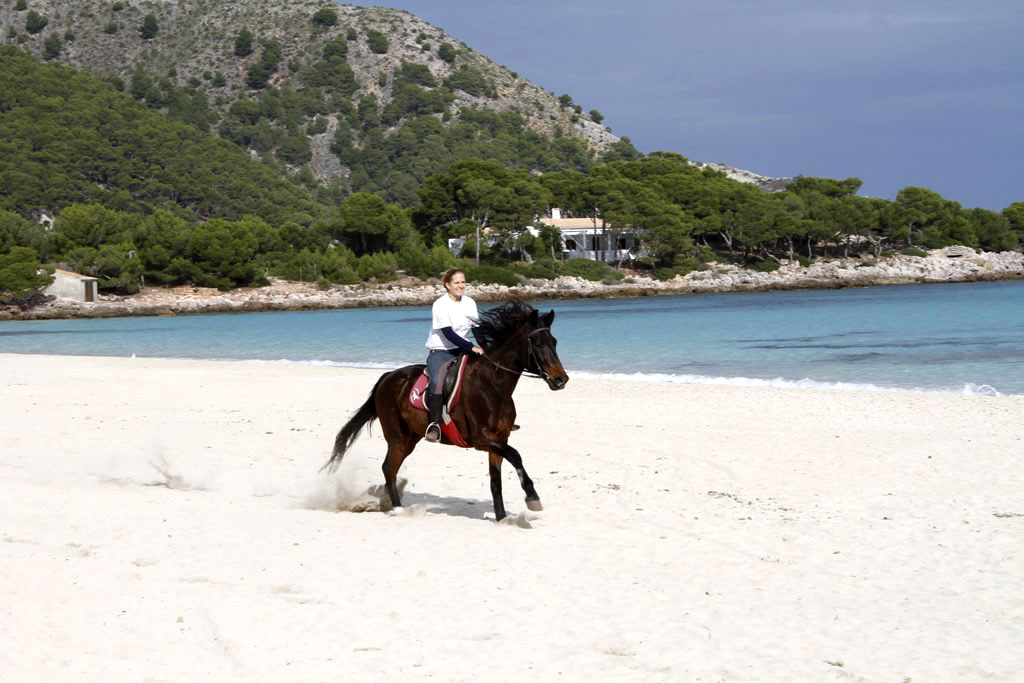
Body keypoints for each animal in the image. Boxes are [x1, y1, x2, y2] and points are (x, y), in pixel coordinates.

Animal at [321, 301, 569, 520]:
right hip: (397, 437)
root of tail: (388, 377)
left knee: (389, 467)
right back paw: (398, 509)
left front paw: (501, 517)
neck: (493, 384)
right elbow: (516, 456)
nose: (560, 379)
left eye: (554, 341)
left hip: (410, 438)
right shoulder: (482, 439)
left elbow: (495, 481)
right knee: (389, 468)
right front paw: (532, 497)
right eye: (536, 342)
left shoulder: (499, 438)